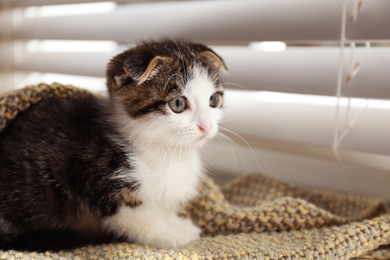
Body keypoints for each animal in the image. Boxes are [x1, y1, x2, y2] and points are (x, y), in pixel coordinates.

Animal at [0, 40, 227, 250]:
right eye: (178, 104)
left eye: (213, 100)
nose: (206, 127)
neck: (166, 151)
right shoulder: (83, 168)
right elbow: (133, 212)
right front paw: (165, 233)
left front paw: (174, 223)